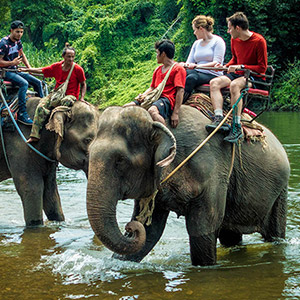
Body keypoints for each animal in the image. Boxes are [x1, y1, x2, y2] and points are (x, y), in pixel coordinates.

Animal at [86, 105, 290, 264]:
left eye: (120, 161)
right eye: (88, 153)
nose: (129, 228)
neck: (159, 123)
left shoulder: (211, 170)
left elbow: (202, 228)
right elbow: (151, 231)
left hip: (280, 190)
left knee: (274, 233)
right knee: (230, 236)